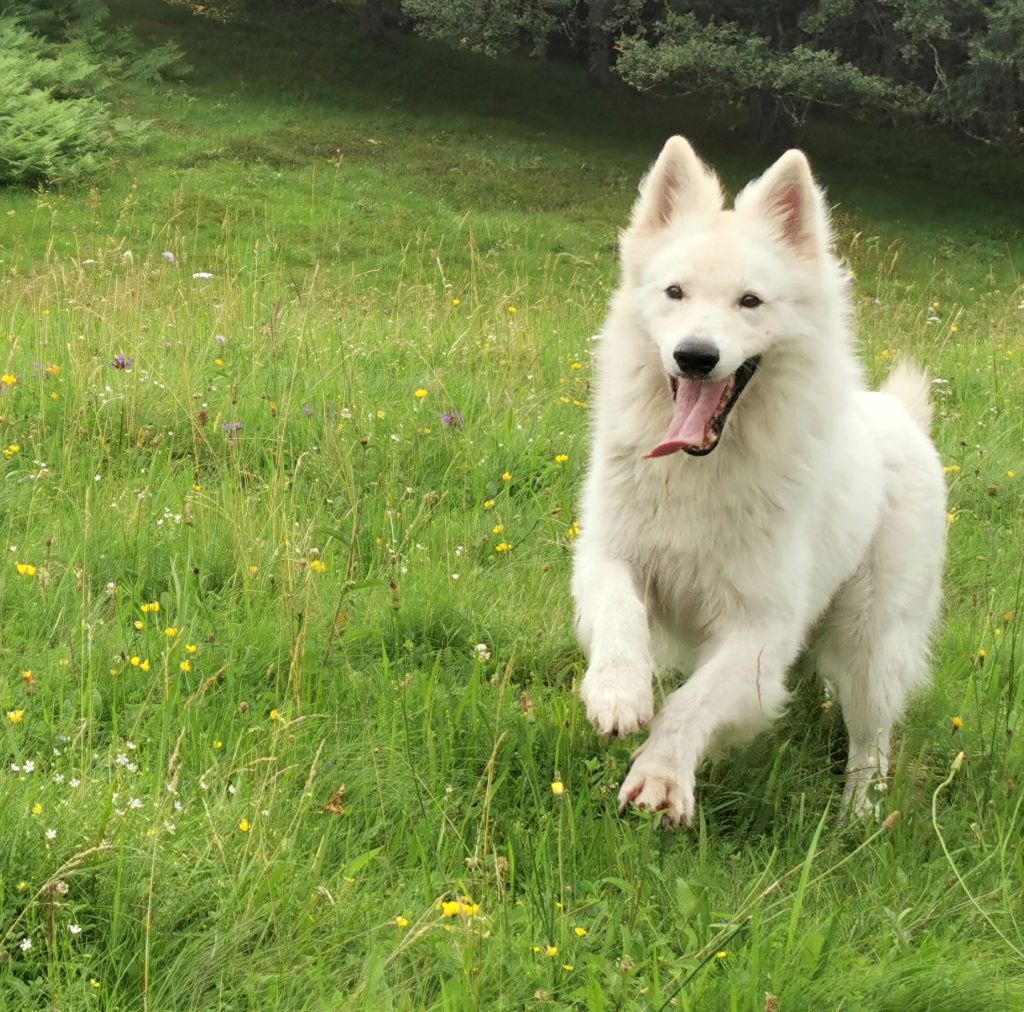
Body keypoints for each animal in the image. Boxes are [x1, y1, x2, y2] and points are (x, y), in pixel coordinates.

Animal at [573, 138, 937, 827]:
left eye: (750, 302)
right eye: (675, 292)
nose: (695, 356)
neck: (700, 470)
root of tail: (902, 413)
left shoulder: (761, 629)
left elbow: (692, 703)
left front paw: (661, 778)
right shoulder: (610, 556)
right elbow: (619, 612)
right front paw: (617, 691)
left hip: (872, 643)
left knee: (871, 740)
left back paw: (857, 816)